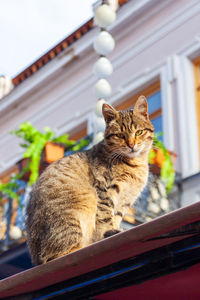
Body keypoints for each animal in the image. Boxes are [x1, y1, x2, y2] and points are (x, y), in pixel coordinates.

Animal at [25, 96, 153, 264]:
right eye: (120, 135)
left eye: (139, 132)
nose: (131, 145)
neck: (135, 163)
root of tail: (35, 256)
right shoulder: (104, 189)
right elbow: (106, 216)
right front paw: (109, 232)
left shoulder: (126, 200)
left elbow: (116, 216)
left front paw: (115, 229)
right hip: (76, 210)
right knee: (56, 255)